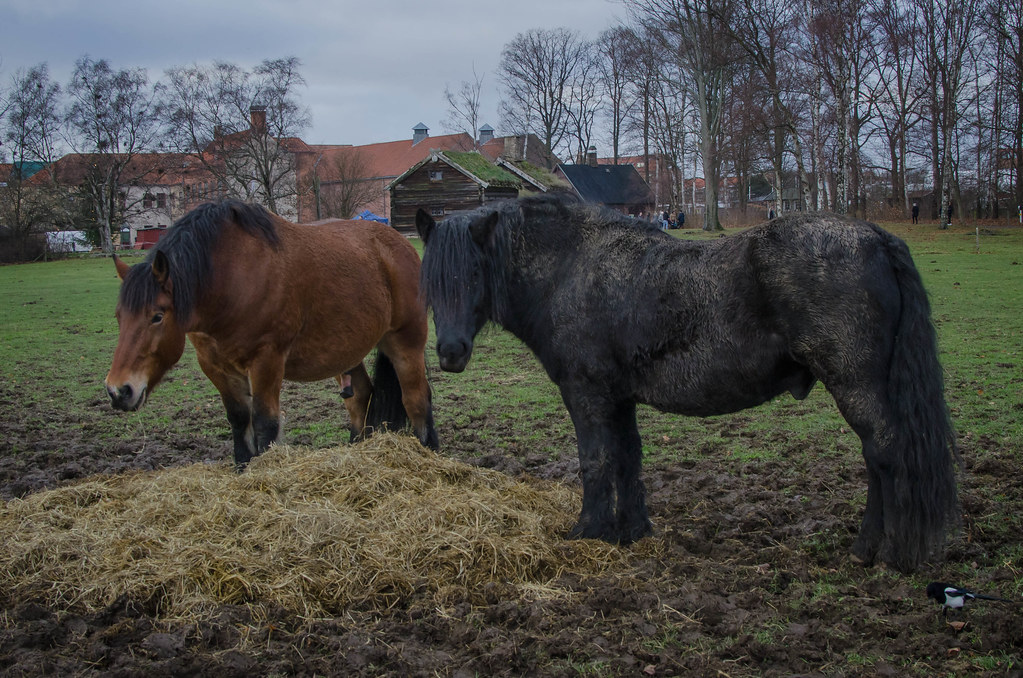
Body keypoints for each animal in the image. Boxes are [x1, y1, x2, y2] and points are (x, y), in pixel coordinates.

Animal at [105, 199, 438, 466]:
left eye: (157, 316)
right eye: (119, 316)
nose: (119, 390)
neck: (230, 279)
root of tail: (398, 244)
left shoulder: (266, 361)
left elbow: (265, 424)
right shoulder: (216, 367)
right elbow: (239, 422)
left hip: (405, 343)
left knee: (417, 400)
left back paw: (431, 454)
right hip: (346, 352)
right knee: (360, 399)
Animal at [416, 194, 959, 573]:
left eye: (473, 274)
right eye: (432, 280)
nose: (450, 353)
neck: (570, 269)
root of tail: (875, 237)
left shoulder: (587, 395)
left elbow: (595, 461)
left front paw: (588, 532)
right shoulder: (619, 398)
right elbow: (627, 459)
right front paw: (631, 531)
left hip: (854, 384)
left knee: (884, 454)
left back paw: (878, 551)